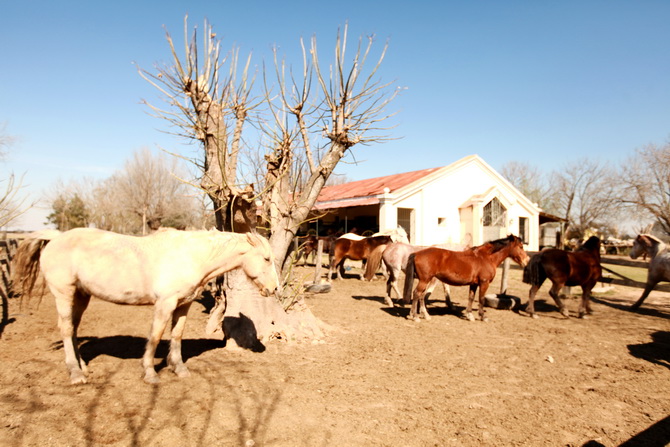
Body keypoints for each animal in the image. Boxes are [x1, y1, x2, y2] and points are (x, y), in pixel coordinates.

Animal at [13, 228, 280, 384]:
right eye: (267, 259)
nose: (275, 289)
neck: (190, 255)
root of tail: (55, 238)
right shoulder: (165, 304)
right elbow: (155, 336)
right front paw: (150, 373)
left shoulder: (183, 305)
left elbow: (176, 335)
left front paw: (178, 368)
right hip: (64, 293)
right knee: (67, 329)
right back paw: (76, 373)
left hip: (81, 295)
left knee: (74, 329)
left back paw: (83, 367)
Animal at [402, 234, 532, 322]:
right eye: (521, 247)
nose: (527, 261)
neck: (486, 257)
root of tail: (417, 253)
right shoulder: (484, 283)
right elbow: (481, 299)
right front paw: (483, 317)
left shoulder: (474, 284)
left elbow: (471, 298)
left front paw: (470, 315)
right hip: (425, 280)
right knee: (417, 293)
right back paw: (415, 316)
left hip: (426, 280)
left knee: (421, 296)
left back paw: (424, 315)